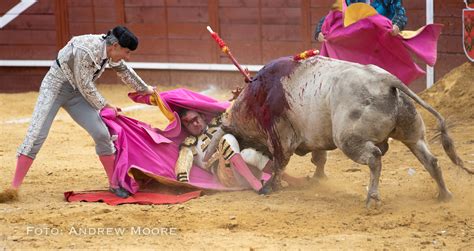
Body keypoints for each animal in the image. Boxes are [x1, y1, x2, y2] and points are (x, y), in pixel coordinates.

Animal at [206, 56, 468, 207]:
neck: (255, 98)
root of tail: (387, 80)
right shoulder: (314, 137)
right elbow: (319, 158)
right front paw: (317, 179)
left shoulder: (280, 136)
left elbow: (280, 163)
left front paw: (269, 188)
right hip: (413, 134)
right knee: (431, 160)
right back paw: (444, 195)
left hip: (348, 140)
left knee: (374, 157)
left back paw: (373, 198)